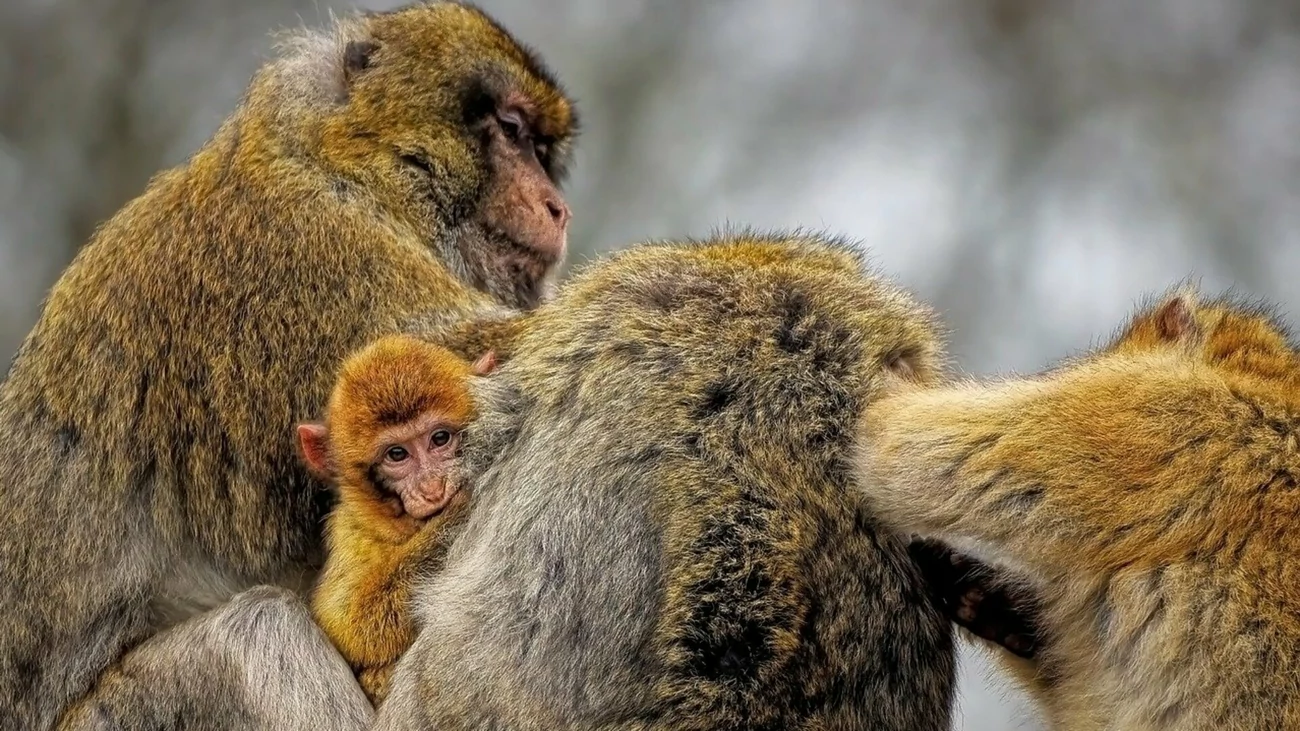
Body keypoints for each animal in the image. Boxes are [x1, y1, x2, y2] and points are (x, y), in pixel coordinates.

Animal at [299, 335, 496, 702]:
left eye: (440, 438)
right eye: (397, 454)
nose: (432, 487)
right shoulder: (352, 532)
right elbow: (347, 622)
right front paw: (461, 507)